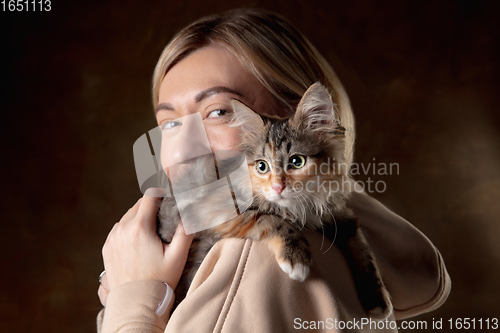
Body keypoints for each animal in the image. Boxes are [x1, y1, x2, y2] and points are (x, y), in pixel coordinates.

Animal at [158, 81, 392, 318]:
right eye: (262, 166)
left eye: (297, 162)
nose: (278, 186)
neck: (300, 208)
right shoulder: (213, 209)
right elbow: (271, 219)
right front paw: (297, 258)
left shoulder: (339, 216)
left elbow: (363, 250)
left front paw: (377, 297)